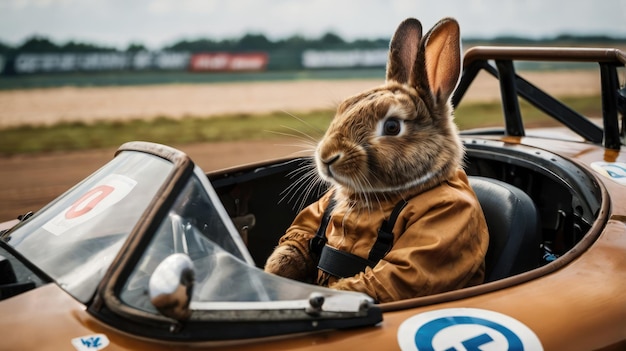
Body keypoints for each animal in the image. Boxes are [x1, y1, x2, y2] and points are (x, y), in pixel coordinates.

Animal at [264, 17, 488, 302]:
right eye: (343, 108)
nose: (326, 157)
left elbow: (393, 275)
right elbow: (298, 236)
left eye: (392, 127)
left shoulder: (443, 220)